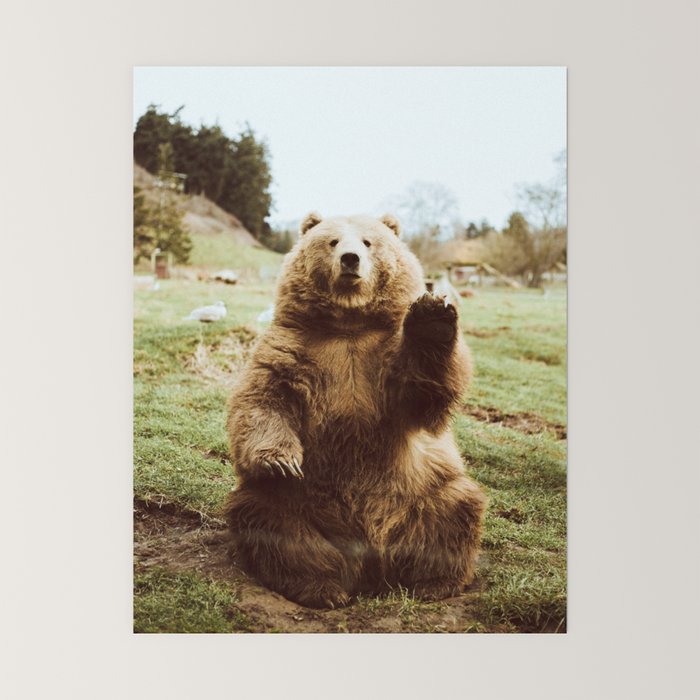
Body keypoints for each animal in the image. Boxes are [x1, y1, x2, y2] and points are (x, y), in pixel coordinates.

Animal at [224, 212, 486, 609]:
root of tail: (371, 562)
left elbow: (423, 393)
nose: (350, 259)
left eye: (367, 242)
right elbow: (263, 399)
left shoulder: (382, 360)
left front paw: (432, 316)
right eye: (332, 241)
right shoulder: (292, 349)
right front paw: (281, 461)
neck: (348, 324)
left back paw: (433, 582)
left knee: (454, 509)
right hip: (299, 502)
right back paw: (322, 587)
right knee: (270, 520)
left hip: (422, 488)